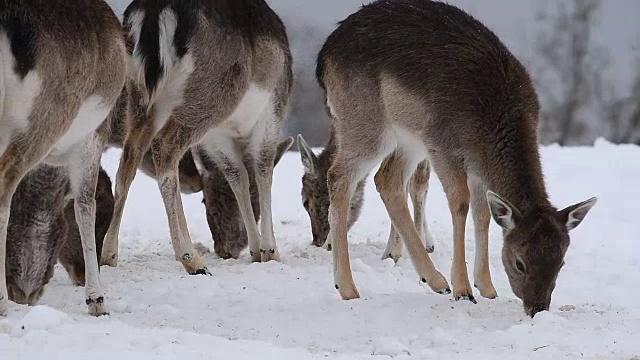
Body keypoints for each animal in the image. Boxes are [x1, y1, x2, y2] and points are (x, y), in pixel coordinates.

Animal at [102, 0, 292, 272]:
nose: (228, 249)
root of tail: (153, 13)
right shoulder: (271, 112)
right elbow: (262, 169)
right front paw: (270, 251)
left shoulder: (216, 136)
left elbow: (237, 175)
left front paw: (256, 250)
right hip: (206, 97)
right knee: (165, 148)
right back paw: (190, 258)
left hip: (138, 97)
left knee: (129, 160)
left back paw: (109, 254)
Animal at [318, 0, 596, 316]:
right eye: (519, 263)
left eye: (560, 263)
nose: (537, 308)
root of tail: (324, 53)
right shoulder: (443, 146)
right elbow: (460, 203)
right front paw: (463, 289)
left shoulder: (476, 167)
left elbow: (483, 213)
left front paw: (486, 287)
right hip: (367, 121)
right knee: (340, 176)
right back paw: (348, 288)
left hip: (410, 138)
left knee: (386, 179)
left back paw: (434, 280)